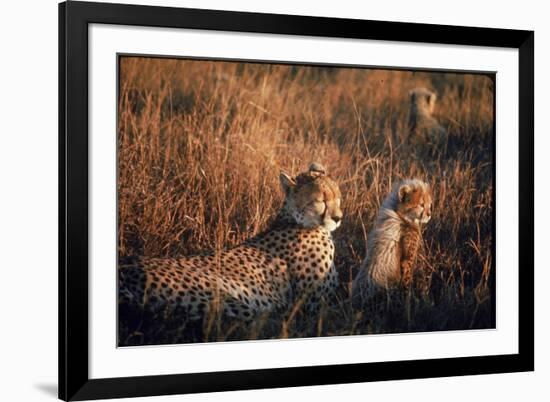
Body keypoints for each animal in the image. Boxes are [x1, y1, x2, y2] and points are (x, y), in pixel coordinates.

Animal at [119, 163, 344, 324]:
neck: (295, 220)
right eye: (321, 201)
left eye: (338, 197)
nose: (338, 218)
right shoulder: (314, 306)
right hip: (229, 302)